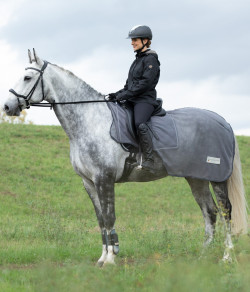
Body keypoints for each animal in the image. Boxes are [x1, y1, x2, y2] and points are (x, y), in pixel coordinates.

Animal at [3, 50, 248, 264]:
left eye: (27, 77)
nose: (7, 106)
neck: (90, 121)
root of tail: (223, 122)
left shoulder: (104, 178)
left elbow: (109, 217)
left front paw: (111, 259)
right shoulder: (89, 182)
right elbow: (100, 219)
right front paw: (102, 258)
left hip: (217, 178)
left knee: (225, 212)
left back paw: (227, 257)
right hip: (196, 178)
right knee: (210, 212)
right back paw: (203, 257)